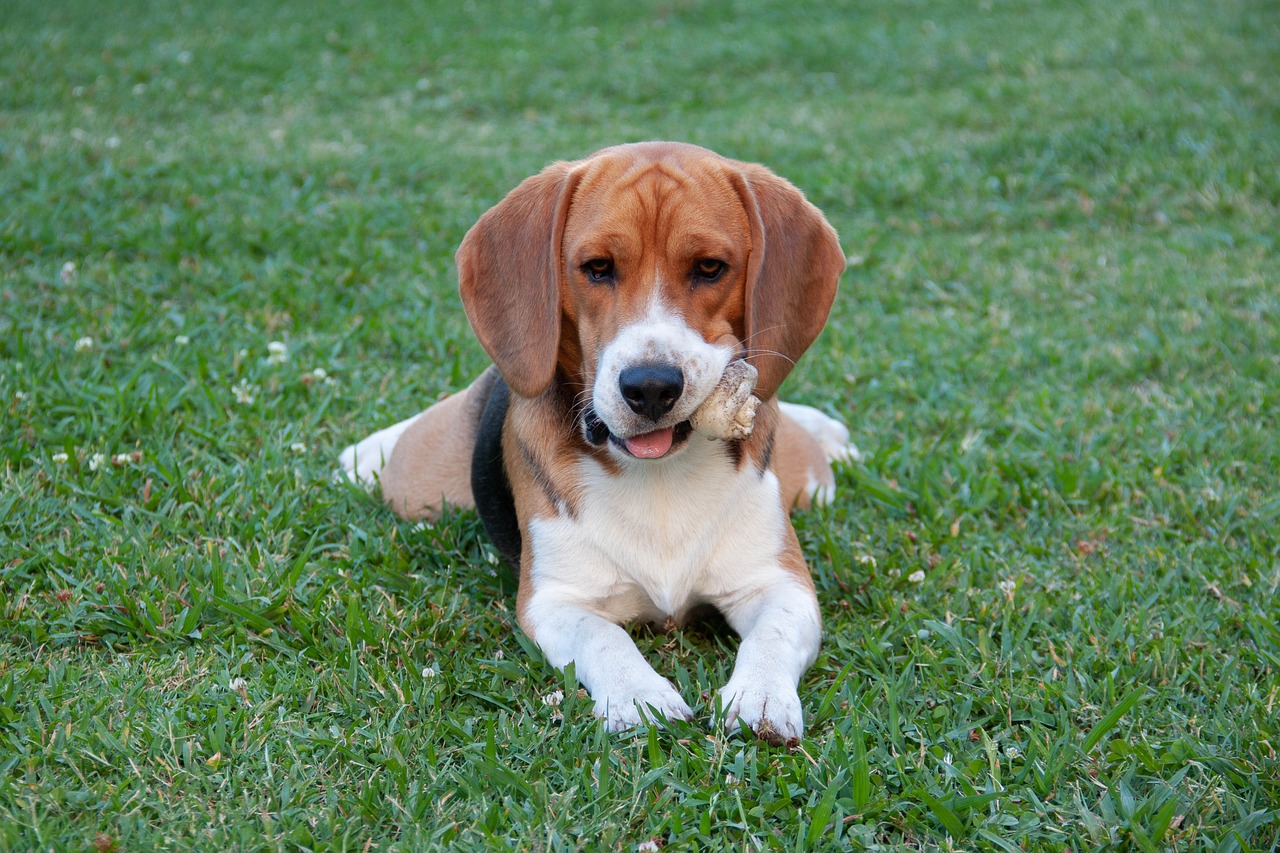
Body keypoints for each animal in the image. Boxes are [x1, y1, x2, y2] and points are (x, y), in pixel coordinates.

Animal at [343, 142, 860, 742]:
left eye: (710, 268)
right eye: (597, 268)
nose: (651, 386)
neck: (661, 477)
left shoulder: (780, 583)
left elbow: (771, 635)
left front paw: (762, 695)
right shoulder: (553, 601)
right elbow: (605, 637)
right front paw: (639, 695)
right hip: (419, 491)